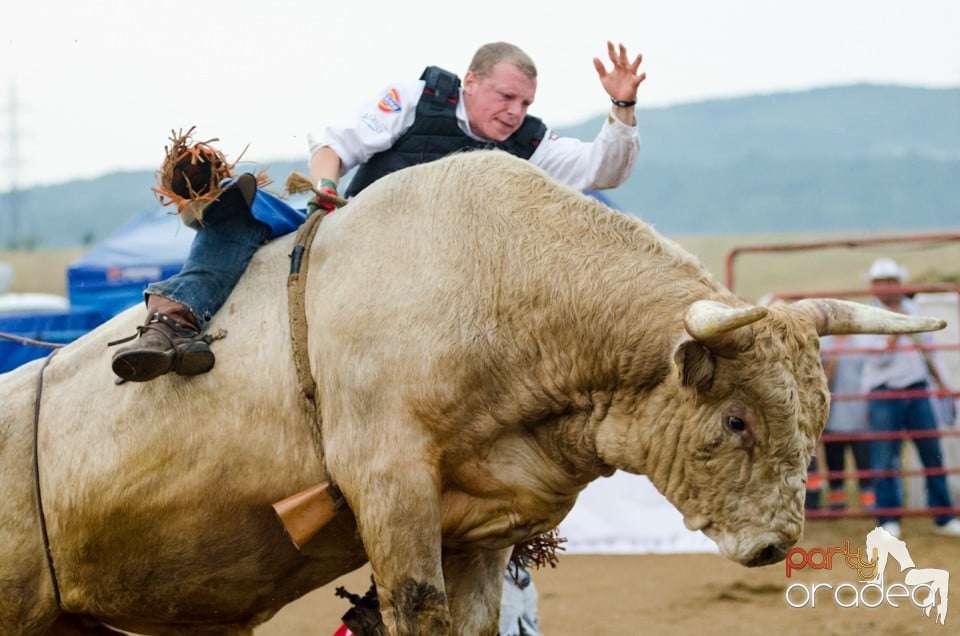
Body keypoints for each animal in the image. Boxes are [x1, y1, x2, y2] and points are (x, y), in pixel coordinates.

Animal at [0, 149, 944, 632]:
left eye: (818, 418)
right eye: (738, 418)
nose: (778, 544)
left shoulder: (482, 528)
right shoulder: (390, 490)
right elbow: (416, 610)